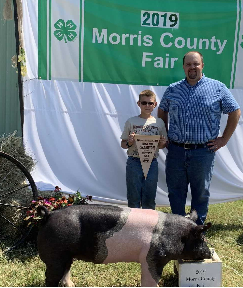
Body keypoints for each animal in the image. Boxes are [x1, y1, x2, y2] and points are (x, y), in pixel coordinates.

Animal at [37, 204, 212, 286]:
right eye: (202, 238)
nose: (210, 253)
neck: (173, 234)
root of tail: (49, 214)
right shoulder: (152, 257)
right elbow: (151, 279)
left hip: (66, 256)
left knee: (66, 270)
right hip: (55, 255)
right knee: (51, 277)